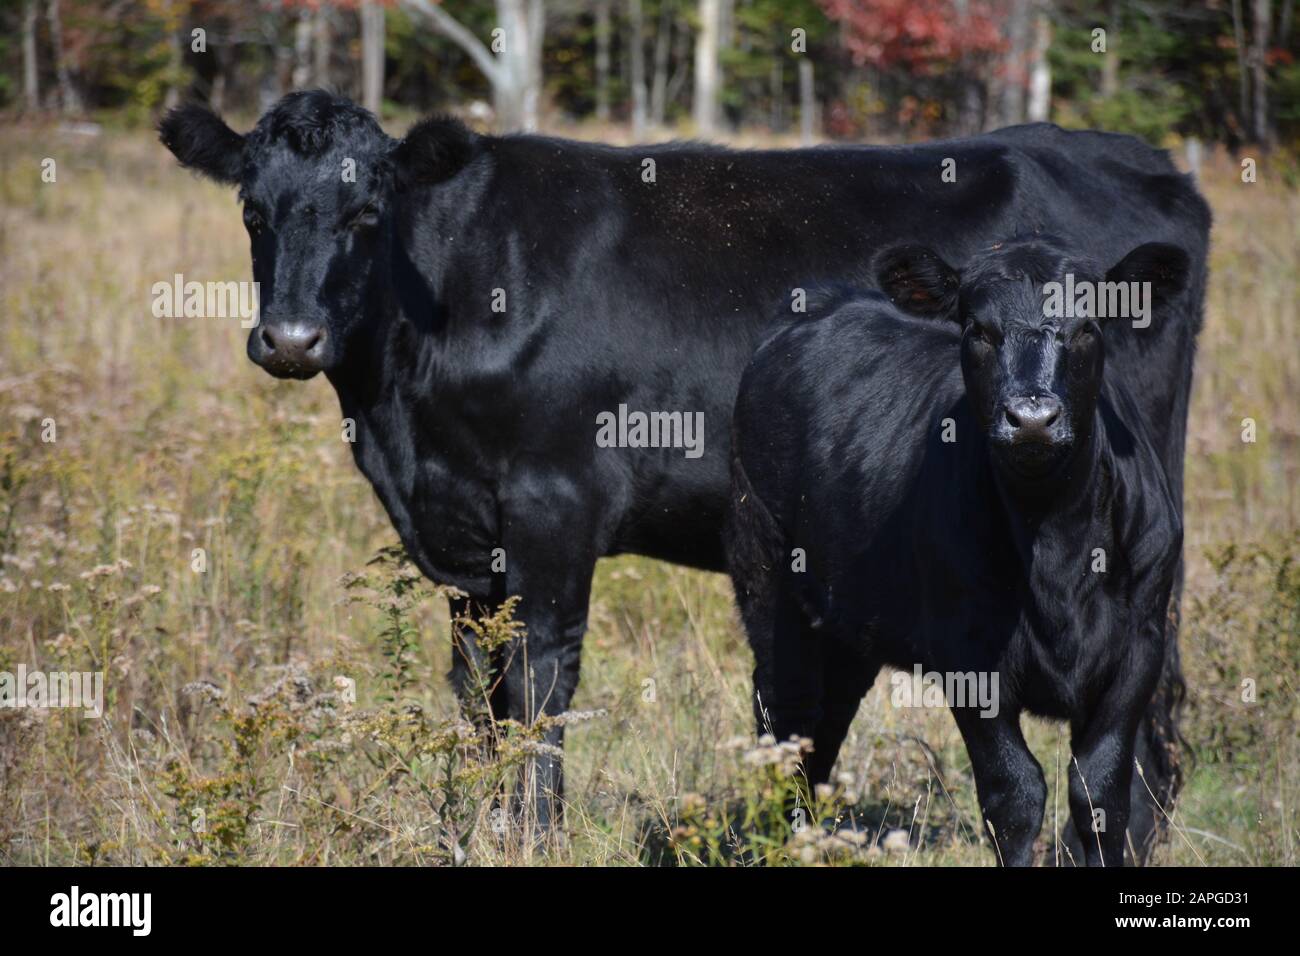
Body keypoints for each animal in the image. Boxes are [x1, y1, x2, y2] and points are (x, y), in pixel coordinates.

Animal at [725, 236, 1190, 866]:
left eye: (1088, 327)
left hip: (848, 624)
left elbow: (1099, 790)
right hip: (769, 581)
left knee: (826, 722)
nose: (1032, 418)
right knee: (786, 716)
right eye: (977, 329)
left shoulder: (1140, 643)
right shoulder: (967, 655)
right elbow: (1014, 793)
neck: (1055, 546)